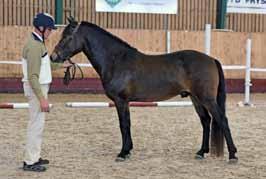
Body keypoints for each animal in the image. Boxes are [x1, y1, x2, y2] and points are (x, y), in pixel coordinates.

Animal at [51, 17, 238, 163]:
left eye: (67, 37)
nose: (53, 56)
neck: (116, 60)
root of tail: (211, 59)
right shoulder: (124, 102)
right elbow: (127, 124)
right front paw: (128, 150)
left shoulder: (120, 101)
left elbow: (123, 125)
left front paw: (122, 153)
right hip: (196, 98)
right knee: (206, 121)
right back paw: (201, 152)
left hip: (207, 99)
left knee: (222, 120)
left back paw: (232, 155)